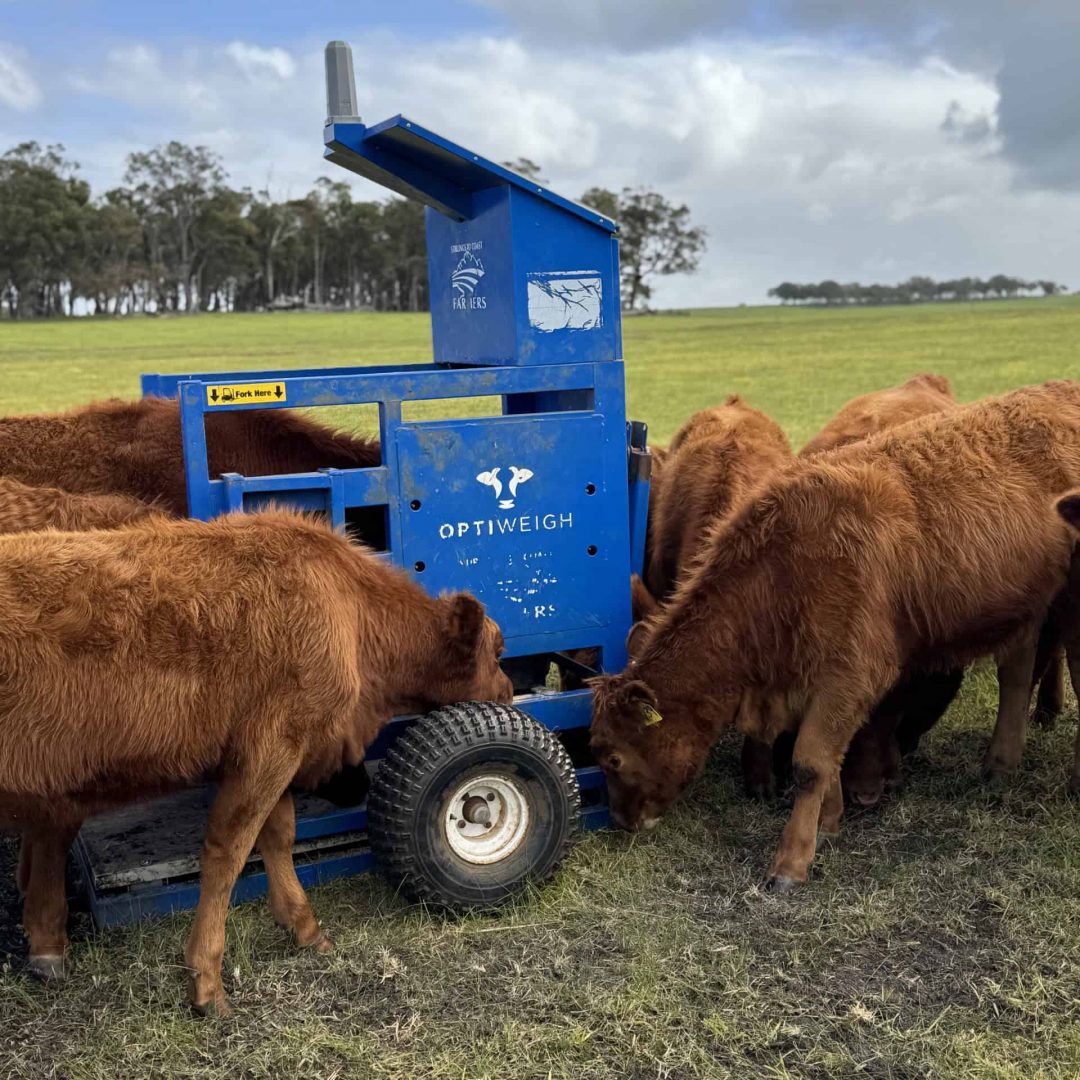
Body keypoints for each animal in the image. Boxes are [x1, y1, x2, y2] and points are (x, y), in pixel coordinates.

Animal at [0, 511, 512, 1015]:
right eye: (499, 650)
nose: (508, 693)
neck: (347, 607)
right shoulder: (273, 745)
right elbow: (228, 850)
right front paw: (206, 979)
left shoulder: (278, 753)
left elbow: (278, 835)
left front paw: (304, 926)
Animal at [590, 381, 1080, 890]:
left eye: (612, 758)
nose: (622, 822)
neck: (786, 566)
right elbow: (831, 759)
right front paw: (829, 822)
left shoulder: (850, 675)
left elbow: (811, 763)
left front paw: (792, 860)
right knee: (1017, 673)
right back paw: (1000, 765)